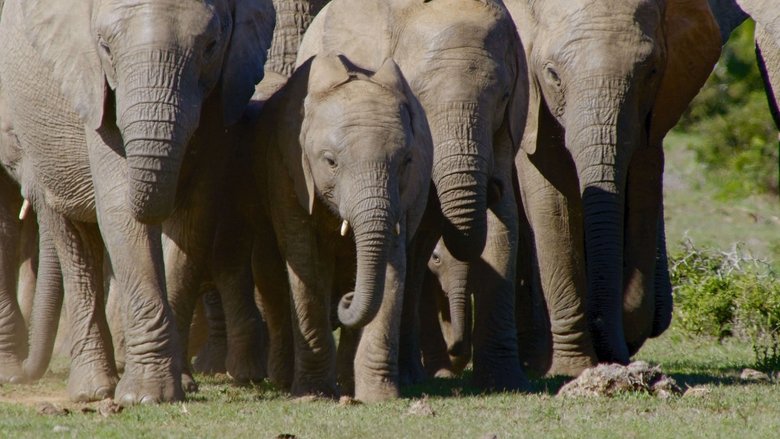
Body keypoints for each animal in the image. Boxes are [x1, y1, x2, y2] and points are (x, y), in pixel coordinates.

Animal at [0, 0, 274, 404]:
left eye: (210, 47)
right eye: (105, 47)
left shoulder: (219, 95)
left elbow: (193, 219)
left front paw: (177, 386)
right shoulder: (94, 88)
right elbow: (119, 209)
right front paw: (146, 396)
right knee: (72, 238)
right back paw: (92, 392)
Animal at [298, 0, 530, 392]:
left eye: (503, 98)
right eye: (417, 96)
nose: (494, 186)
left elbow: (504, 229)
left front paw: (504, 383)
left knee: (418, 253)